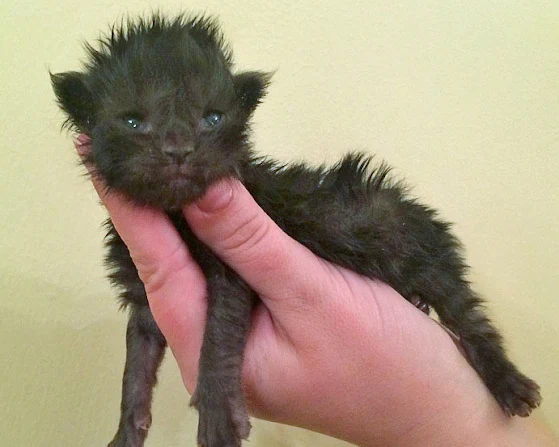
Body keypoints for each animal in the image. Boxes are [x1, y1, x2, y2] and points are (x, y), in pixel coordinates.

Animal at [51, 14, 544, 447]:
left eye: (212, 118)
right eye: (133, 121)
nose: (179, 150)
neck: (174, 212)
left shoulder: (232, 277)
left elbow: (217, 342)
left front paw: (218, 416)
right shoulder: (143, 301)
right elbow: (134, 371)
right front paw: (125, 432)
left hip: (416, 253)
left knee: (470, 316)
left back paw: (510, 385)